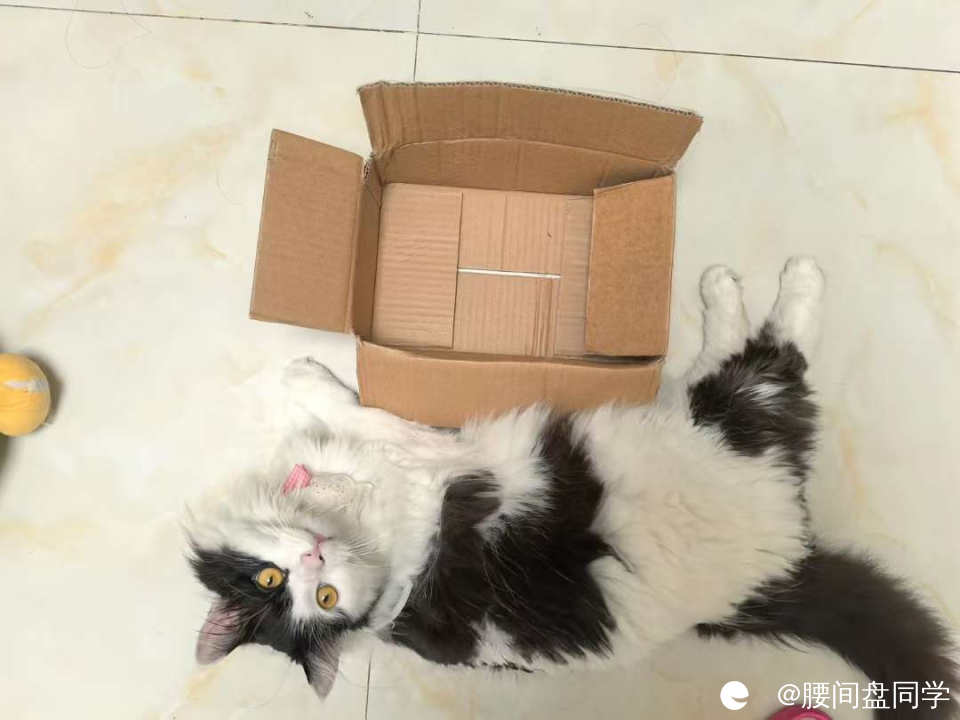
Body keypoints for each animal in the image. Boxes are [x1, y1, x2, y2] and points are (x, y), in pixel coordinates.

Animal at [185, 257, 957, 718]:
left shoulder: (422, 455)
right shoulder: (434, 457)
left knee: (751, 354)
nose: (313, 556)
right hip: (728, 423)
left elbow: (346, 410)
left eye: (273, 582)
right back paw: (754, 283)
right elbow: (359, 414)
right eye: (313, 596)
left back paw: (731, 282)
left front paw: (301, 378)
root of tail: (781, 563)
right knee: (768, 356)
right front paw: (306, 381)